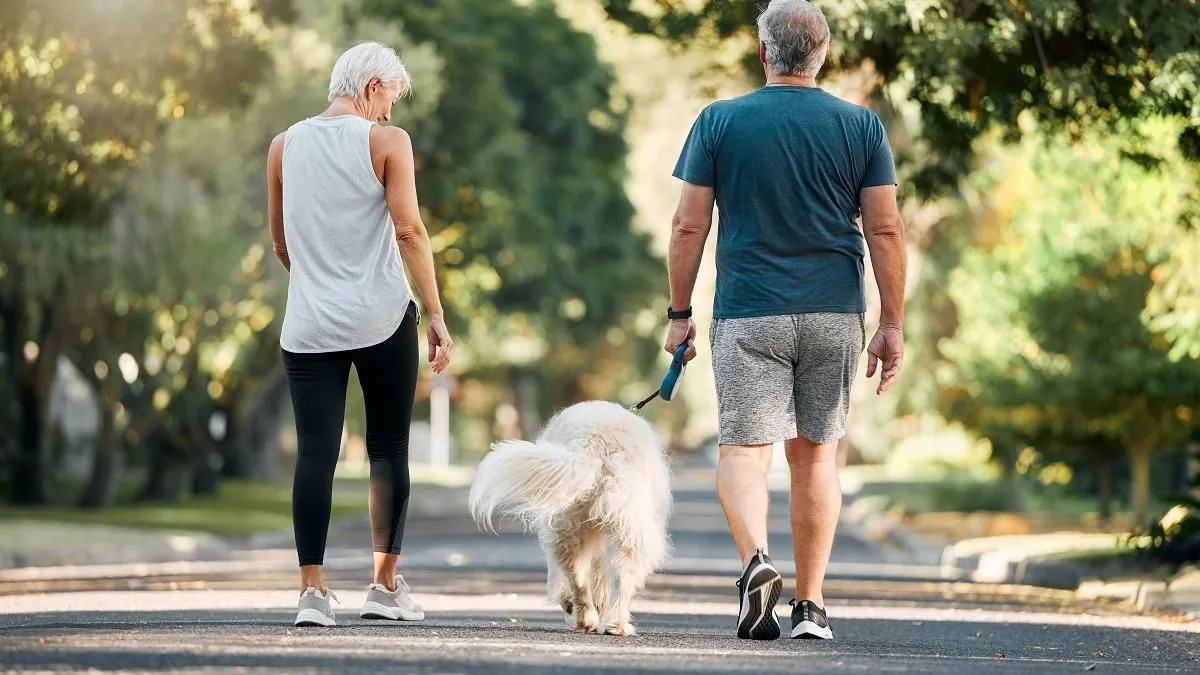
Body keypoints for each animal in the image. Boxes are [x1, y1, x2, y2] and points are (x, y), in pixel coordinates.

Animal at [470, 396, 676, 634]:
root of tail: (595, 442)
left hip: (575, 526)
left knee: (581, 576)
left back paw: (592, 620)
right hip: (614, 527)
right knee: (616, 577)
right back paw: (607, 622)